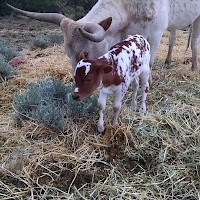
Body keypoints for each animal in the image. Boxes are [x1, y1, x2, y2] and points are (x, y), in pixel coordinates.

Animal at [7, 0, 200, 72]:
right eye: (67, 54)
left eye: (85, 53)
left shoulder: (154, 35)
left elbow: (148, 64)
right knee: (173, 39)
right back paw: (168, 61)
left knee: (194, 43)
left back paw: (193, 67)